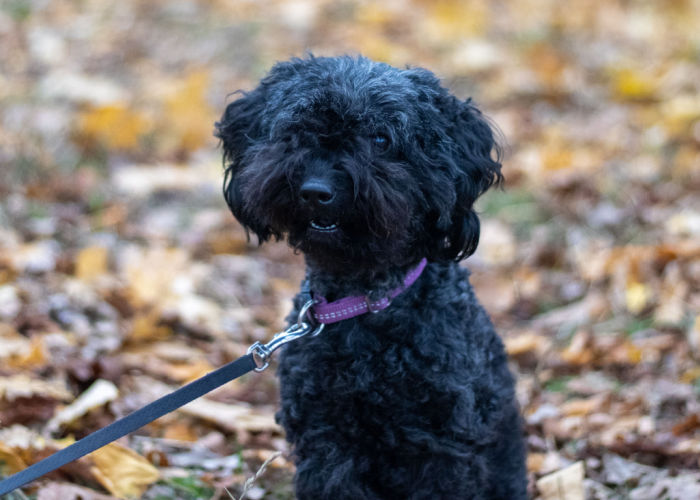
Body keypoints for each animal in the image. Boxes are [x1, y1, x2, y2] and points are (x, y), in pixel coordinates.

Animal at [216, 55, 528, 500]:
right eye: (298, 129)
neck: (363, 302)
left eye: (380, 139)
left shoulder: (441, 442)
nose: (316, 191)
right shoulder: (327, 438)